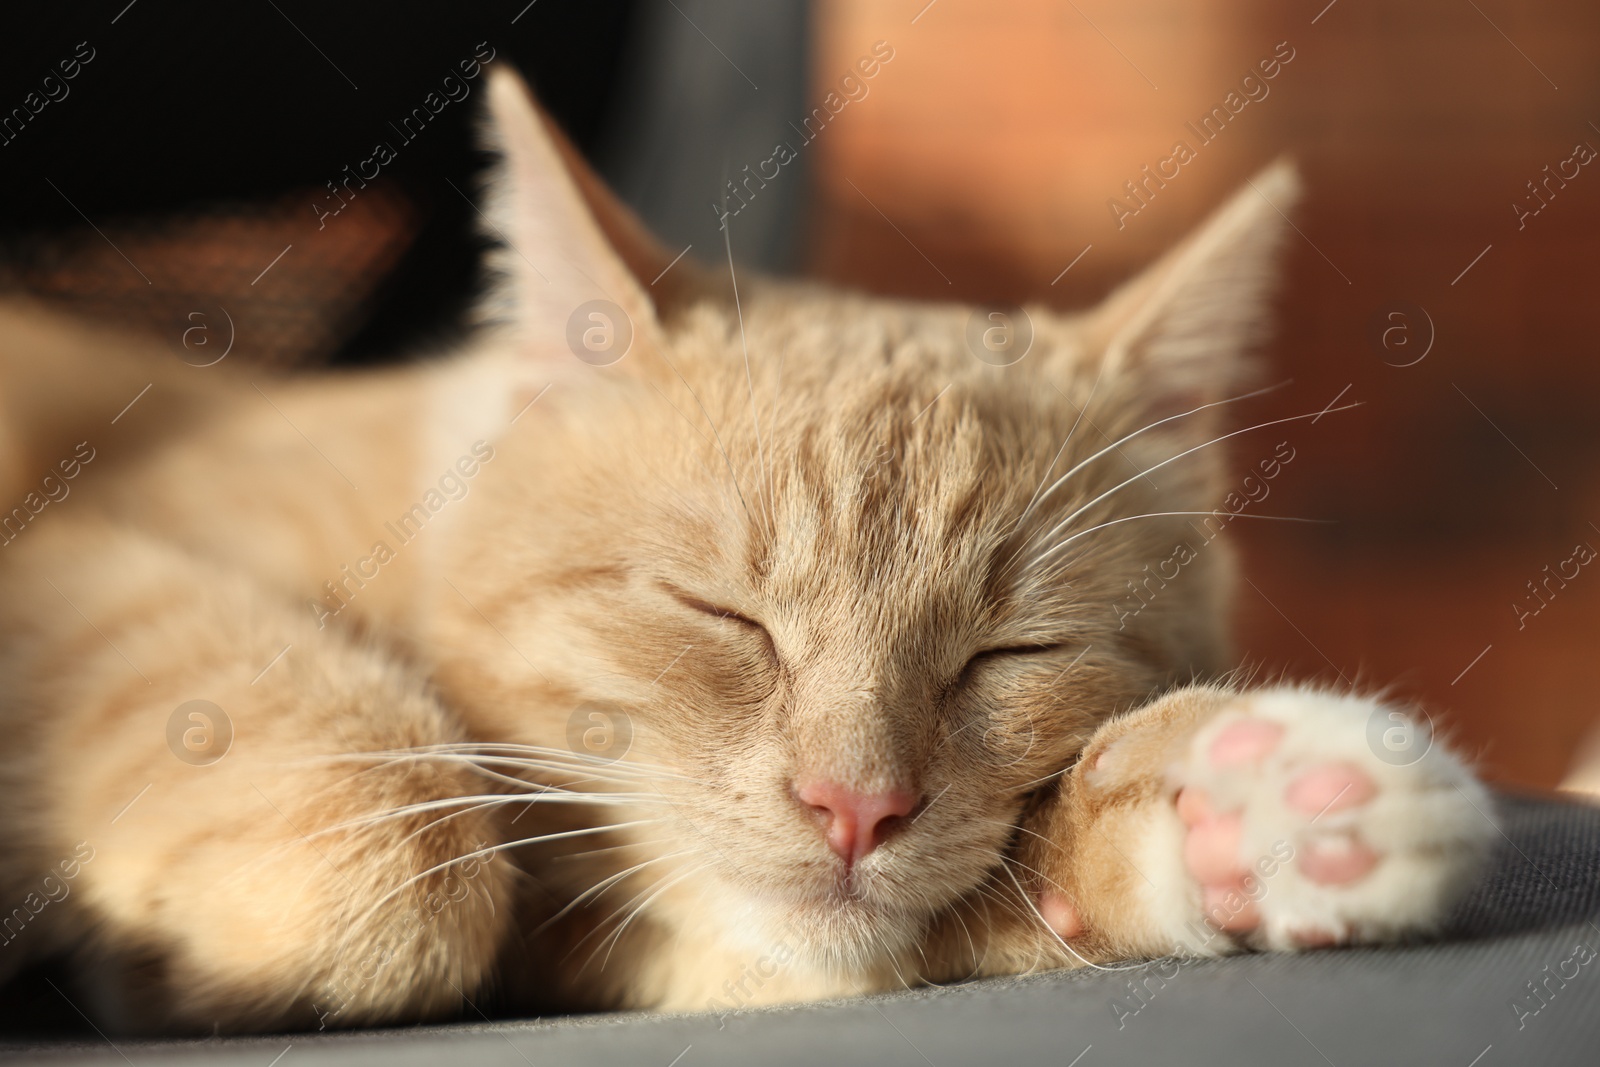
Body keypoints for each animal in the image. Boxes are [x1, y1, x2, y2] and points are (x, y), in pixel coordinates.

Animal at [0, 68, 1491, 1036]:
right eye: (722, 615)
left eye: (1011, 650)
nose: (855, 805)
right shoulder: (74, 566)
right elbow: (394, 856)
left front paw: (1259, 794)